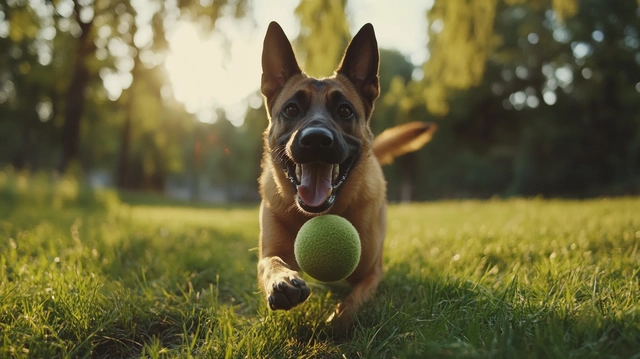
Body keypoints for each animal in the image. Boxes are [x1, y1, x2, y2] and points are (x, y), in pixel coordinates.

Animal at [256, 21, 436, 322]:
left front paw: (335, 322)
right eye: (291, 109)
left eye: (344, 111)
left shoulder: (372, 275)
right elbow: (271, 263)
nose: (316, 139)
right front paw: (281, 279)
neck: (320, 213)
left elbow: (350, 306)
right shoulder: (269, 251)